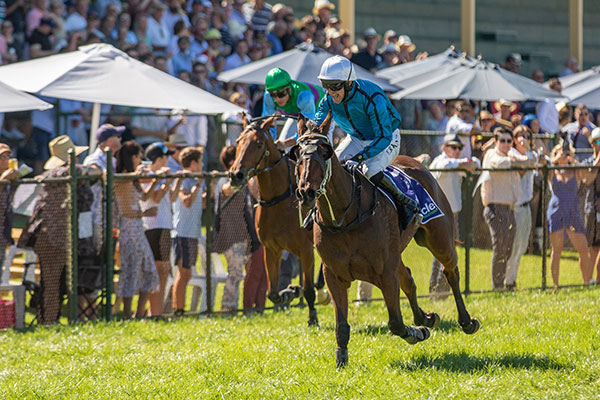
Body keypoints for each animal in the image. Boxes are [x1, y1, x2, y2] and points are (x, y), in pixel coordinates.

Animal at [229, 115, 318, 324]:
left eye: (259, 144)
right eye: (238, 142)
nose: (236, 175)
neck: (279, 199)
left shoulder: (306, 249)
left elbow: (309, 289)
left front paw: (312, 317)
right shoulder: (271, 249)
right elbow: (273, 293)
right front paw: (290, 292)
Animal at [292, 114, 480, 368]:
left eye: (325, 152)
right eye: (297, 154)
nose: (306, 192)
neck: (345, 217)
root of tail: (417, 161)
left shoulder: (385, 272)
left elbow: (396, 323)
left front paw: (417, 332)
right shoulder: (334, 275)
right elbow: (342, 325)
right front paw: (341, 359)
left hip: (439, 238)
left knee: (450, 271)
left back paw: (466, 321)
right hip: (397, 251)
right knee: (409, 279)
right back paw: (426, 317)